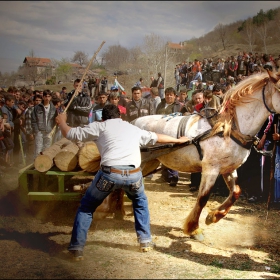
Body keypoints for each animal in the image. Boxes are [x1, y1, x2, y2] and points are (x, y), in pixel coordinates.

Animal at [132, 70, 280, 241]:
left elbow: (236, 192)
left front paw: (213, 216)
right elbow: (203, 198)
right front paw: (194, 228)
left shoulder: (228, 169)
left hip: (151, 162)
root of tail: (132, 122)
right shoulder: (211, 169)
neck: (228, 128)